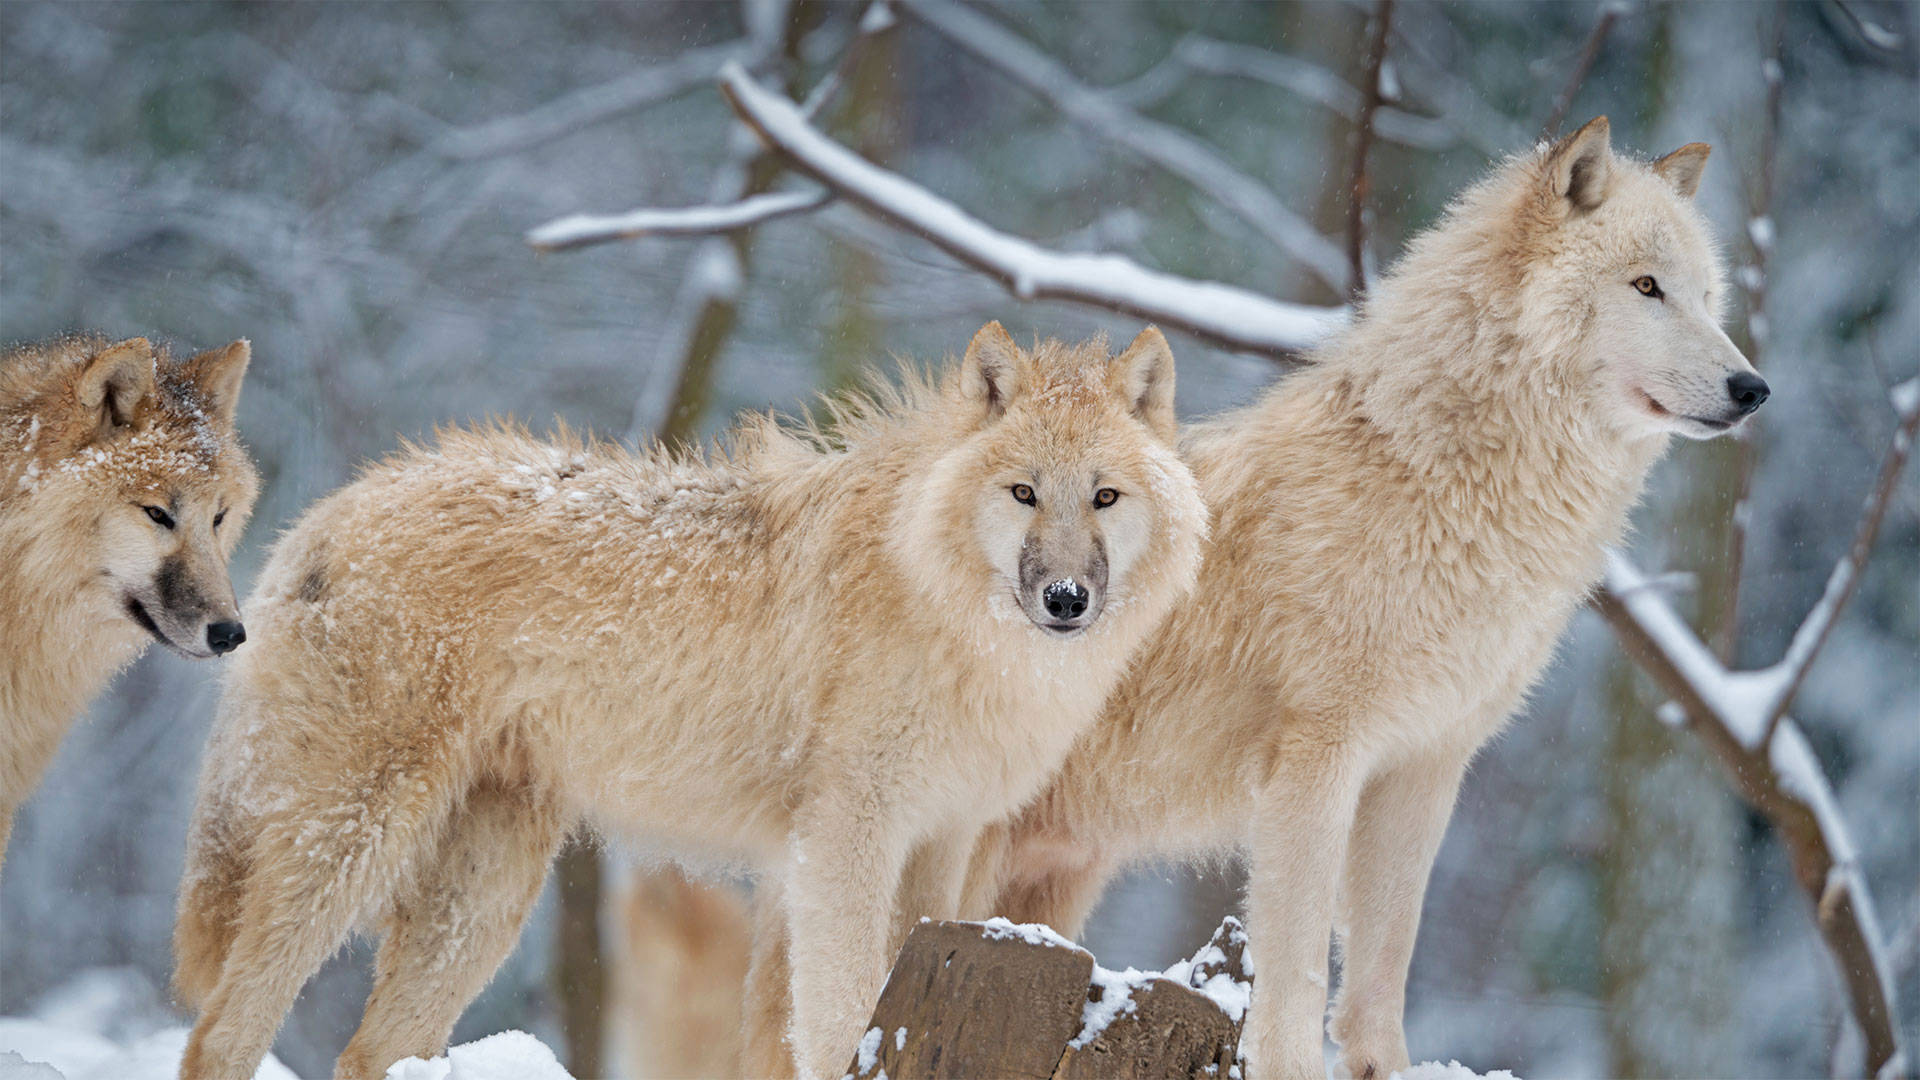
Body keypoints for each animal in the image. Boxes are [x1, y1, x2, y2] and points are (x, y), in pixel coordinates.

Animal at [176, 319, 1198, 1076]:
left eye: (1104, 498)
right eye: (1024, 493)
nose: (1065, 599)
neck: (947, 613)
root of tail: (325, 514)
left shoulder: (942, 845)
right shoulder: (843, 843)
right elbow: (836, 1017)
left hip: (484, 898)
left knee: (369, 1052)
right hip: (352, 844)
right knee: (219, 1034)